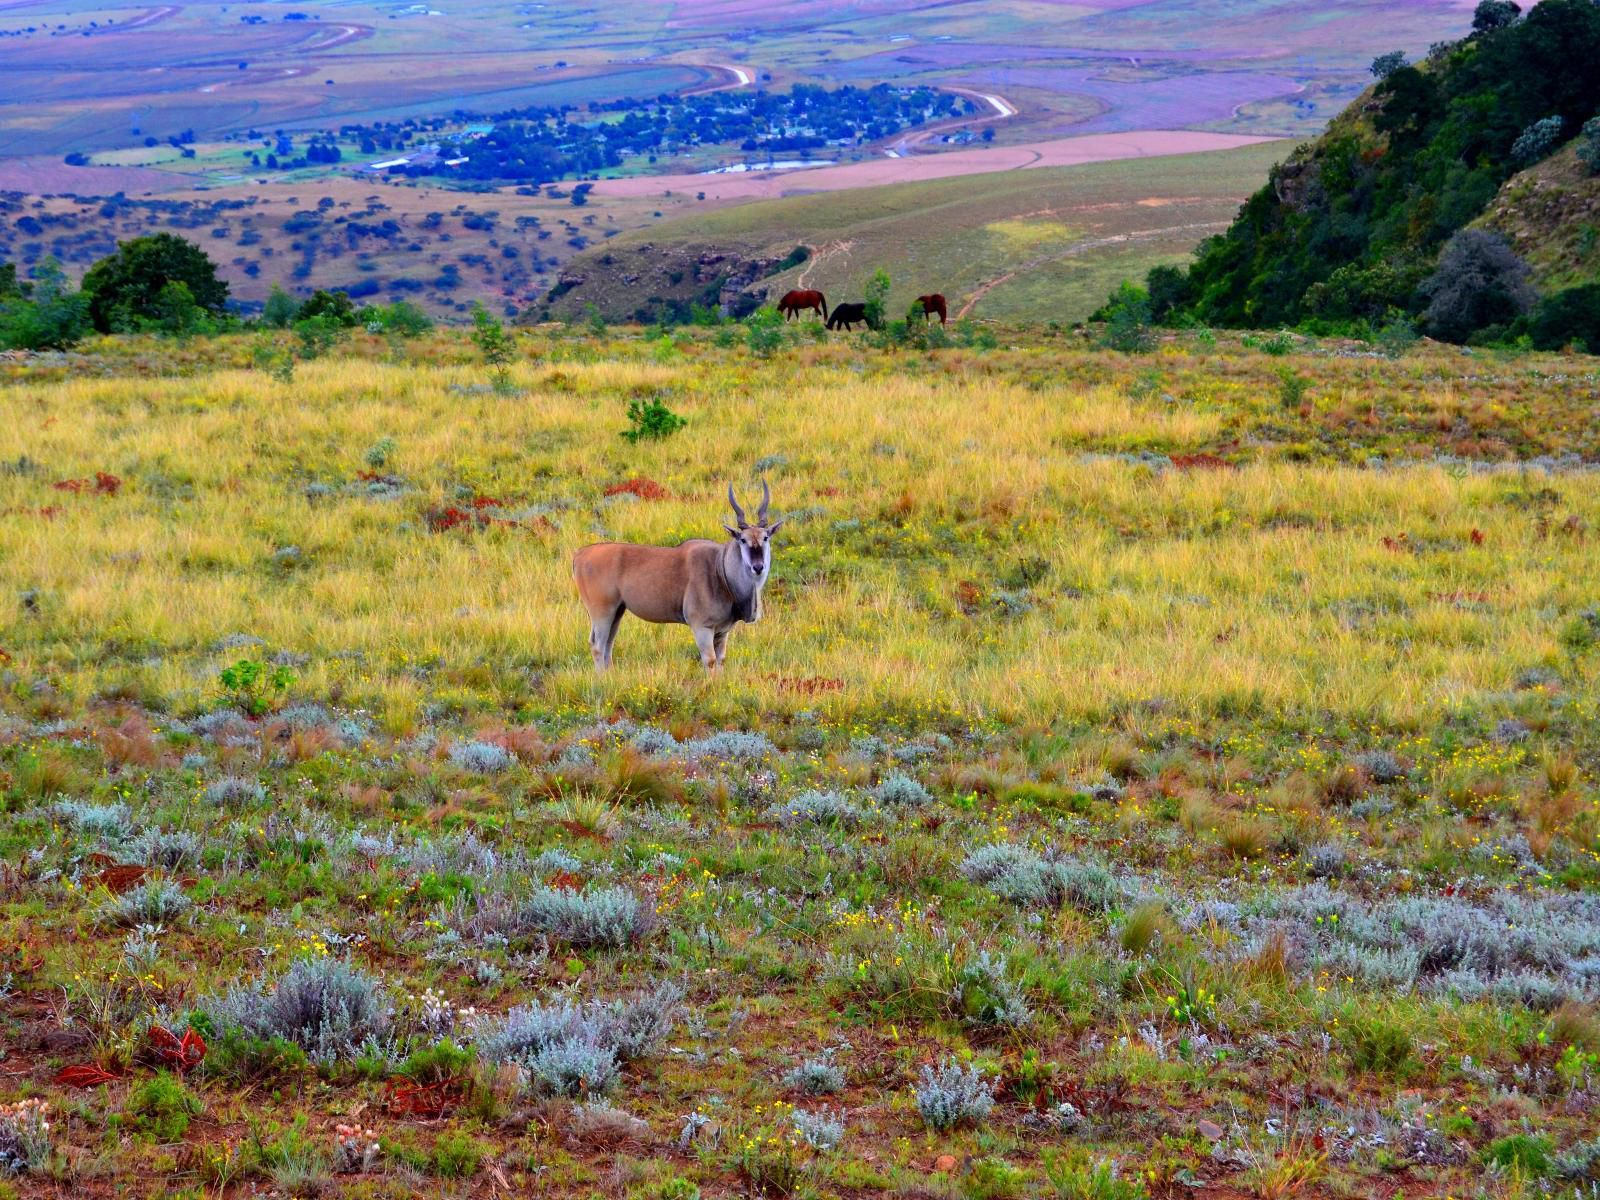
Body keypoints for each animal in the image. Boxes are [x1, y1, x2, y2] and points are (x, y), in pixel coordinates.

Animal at [572, 486, 784, 678]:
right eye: (743, 540)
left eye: (766, 538)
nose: (758, 566)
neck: (720, 569)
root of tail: (580, 554)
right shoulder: (701, 627)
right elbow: (710, 661)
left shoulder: (722, 632)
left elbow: (721, 660)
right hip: (602, 611)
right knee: (597, 645)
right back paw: (602, 680)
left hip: (617, 611)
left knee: (608, 644)